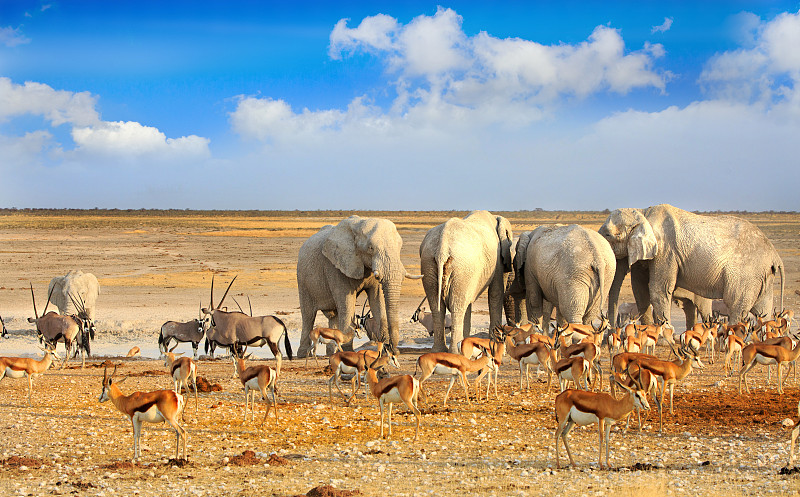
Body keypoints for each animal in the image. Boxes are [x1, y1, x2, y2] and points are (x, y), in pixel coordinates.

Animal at [296, 215, 422, 354]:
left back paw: (331, 352)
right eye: (371, 248)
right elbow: (347, 303)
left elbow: (377, 299)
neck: (359, 224)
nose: (394, 350)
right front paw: (348, 351)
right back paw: (303, 354)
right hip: (302, 279)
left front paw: (384, 348)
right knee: (308, 315)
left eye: (400, 247)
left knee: (333, 315)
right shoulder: (336, 266)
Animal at [418, 209, 512, 352]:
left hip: (429, 264)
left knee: (438, 306)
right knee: (457, 305)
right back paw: (456, 351)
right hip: (461, 267)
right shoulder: (497, 261)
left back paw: (440, 350)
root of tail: (442, 247)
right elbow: (496, 292)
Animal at [600, 203, 780, 328]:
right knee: (762, 309)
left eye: (608, 235)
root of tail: (775, 255)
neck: (643, 213)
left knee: (736, 304)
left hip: (746, 274)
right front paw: (649, 330)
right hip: (762, 276)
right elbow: (640, 289)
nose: (611, 331)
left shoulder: (666, 252)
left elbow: (658, 289)